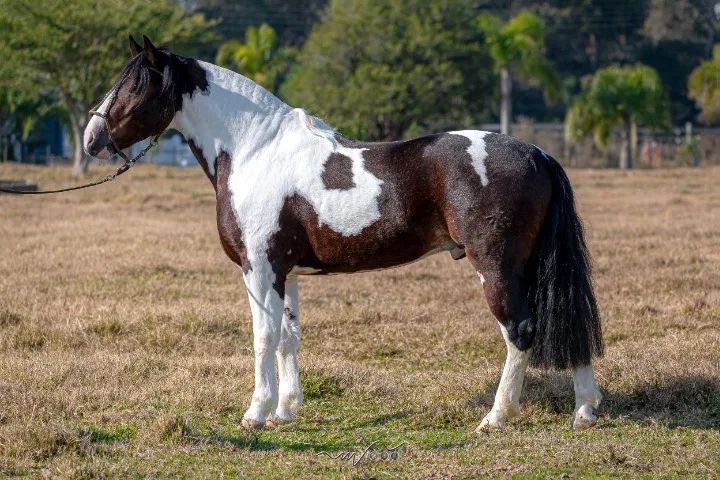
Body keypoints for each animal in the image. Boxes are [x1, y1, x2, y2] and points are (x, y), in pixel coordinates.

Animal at [84, 35, 603, 432]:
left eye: (134, 86)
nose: (92, 139)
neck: (254, 149)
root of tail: (538, 153)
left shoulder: (259, 270)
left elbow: (262, 338)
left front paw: (256, 413)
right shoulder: (287, 273)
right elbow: (288, 338)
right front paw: (285, 411)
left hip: (496, 268)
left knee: (521, 331)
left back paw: (496, 418)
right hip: (534, 267)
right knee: (567, 324)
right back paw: (583, 411)